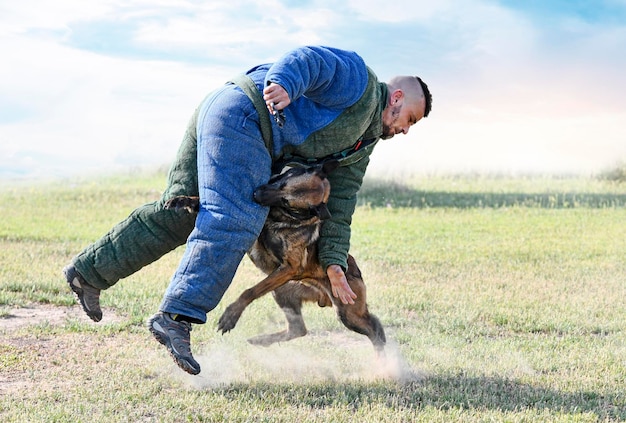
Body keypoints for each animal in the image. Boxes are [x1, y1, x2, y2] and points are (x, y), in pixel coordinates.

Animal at [163, 162, 382, 358]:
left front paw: (232, 314)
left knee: (375, 328)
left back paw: (384, 362)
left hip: (347, 313)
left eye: (286, 201)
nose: (256, 194)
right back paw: (261, 340)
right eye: (282, 182)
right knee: (298, 329)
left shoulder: (289, 268)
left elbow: (249, 291)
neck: (282, 217)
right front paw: (184, 200)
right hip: (283, 291)